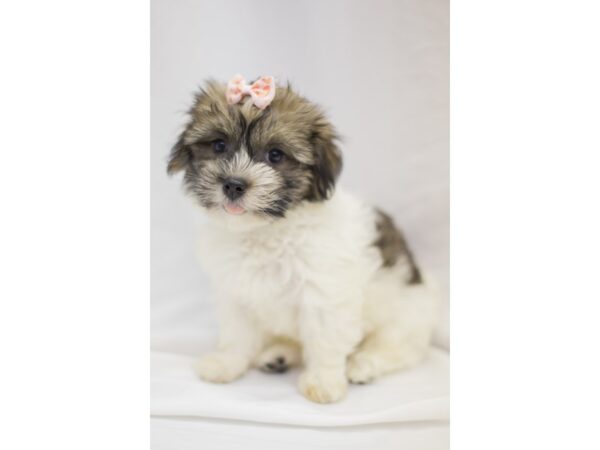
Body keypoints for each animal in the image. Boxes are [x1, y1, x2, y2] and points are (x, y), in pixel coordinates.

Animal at [166, 75, 438, 402]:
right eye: (219, 145)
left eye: (275, 155)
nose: (233, 184)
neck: (266, 230)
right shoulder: (235, 291)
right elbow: (237, 333)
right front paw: (226, 363)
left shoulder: (325, 294)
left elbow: (324, 339)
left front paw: (323, 381)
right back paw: (279, 355)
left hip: (406, 312)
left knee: (400, 347)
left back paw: (363, 364)